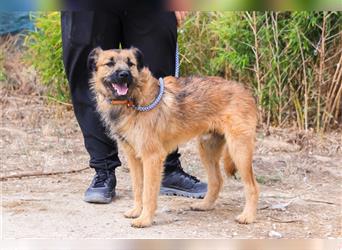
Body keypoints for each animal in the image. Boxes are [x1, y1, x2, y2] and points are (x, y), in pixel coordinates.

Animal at [88, 47, 260, 229]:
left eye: (130, 63)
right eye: (110, 63)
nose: (124, 74)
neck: (133, 99)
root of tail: (246, 91)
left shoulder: (152, 157)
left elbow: (148, 192)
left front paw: (145, 219)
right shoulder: (133, 157)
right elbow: (138, 188)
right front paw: (136, 211)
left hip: (239, 150)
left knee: (252, 186)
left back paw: (248, 216)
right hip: (207, 149)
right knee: (217, 181)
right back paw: (205, 205)